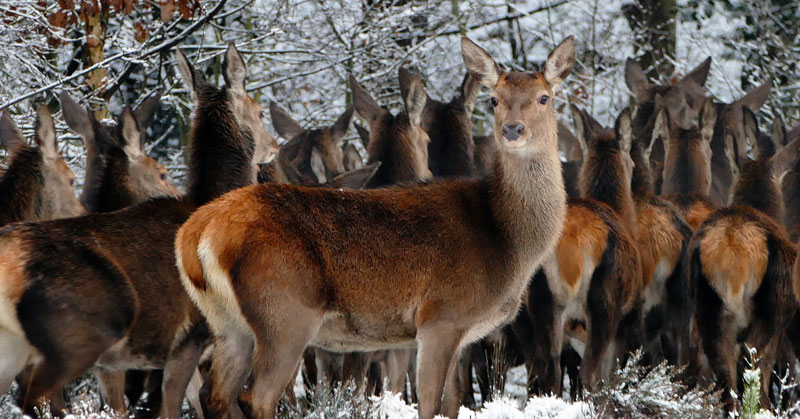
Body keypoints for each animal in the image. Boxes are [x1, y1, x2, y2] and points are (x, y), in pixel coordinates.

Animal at [174, 36, 574, 419]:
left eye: (544, 97)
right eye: (494, 99)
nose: (512, 129)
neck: (506, 240)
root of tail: (195, 234)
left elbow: (452, 403)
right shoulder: (440, 317)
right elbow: (429, 404)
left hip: (228, 323)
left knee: (213, 395)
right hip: (284, 312)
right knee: (255, 398)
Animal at [691, 108, 800, 412]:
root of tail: (732, 252)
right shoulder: (781, 324)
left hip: (707, 310)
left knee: (725, 381)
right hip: (762, 316)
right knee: (752, 374)